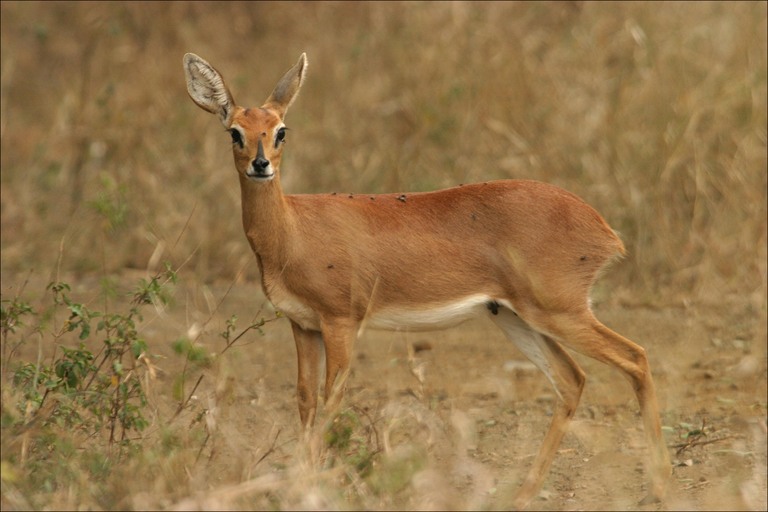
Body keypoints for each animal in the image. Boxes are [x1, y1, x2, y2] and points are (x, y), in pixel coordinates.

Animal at [183, 51, 668, 508]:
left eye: (281, 130)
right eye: (235, 132)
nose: (260, 164)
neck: (293, 231)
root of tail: (603, 228)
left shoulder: (341, 321)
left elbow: (331, 399)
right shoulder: (303, 325)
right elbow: (305, 400)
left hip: (559, 312)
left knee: (636, 357)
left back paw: (660, 490)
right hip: (514, 317)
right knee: (572, 379)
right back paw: (524, 494)